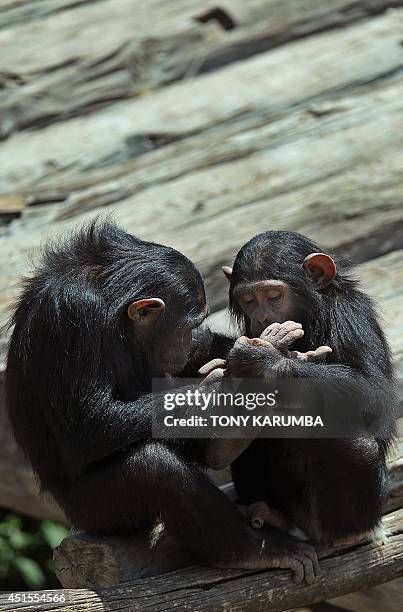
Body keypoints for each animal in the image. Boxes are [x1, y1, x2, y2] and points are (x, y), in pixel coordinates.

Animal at [3, 220, 318, 584]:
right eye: (188, 325)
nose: (186, 341)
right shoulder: (74, 316)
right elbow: (88, 423)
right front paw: (231, 383)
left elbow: (203, 348)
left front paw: (275, 355)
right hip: (95, 513)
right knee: (154, 467)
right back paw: (250, 550)